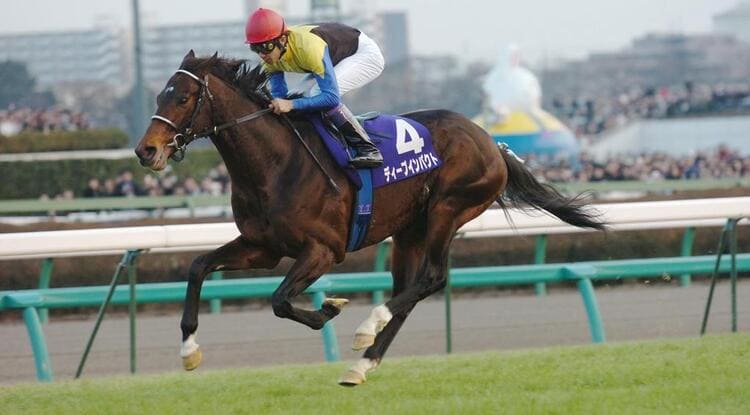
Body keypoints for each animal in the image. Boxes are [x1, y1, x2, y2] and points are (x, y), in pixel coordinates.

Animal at [135, 51, 606, 386]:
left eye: (183, 97)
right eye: (158, 96)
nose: (146, 150)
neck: (276, 164)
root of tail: (492, 140)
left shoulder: (324, 250)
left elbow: (280, 300)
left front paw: (328, 309)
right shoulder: (262, 247)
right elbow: (198, 266)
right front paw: (189, 350)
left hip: (448, 209)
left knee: (432, 279)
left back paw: (367, 326)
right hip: (409, 232)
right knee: (409, 292)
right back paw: (362, 365)